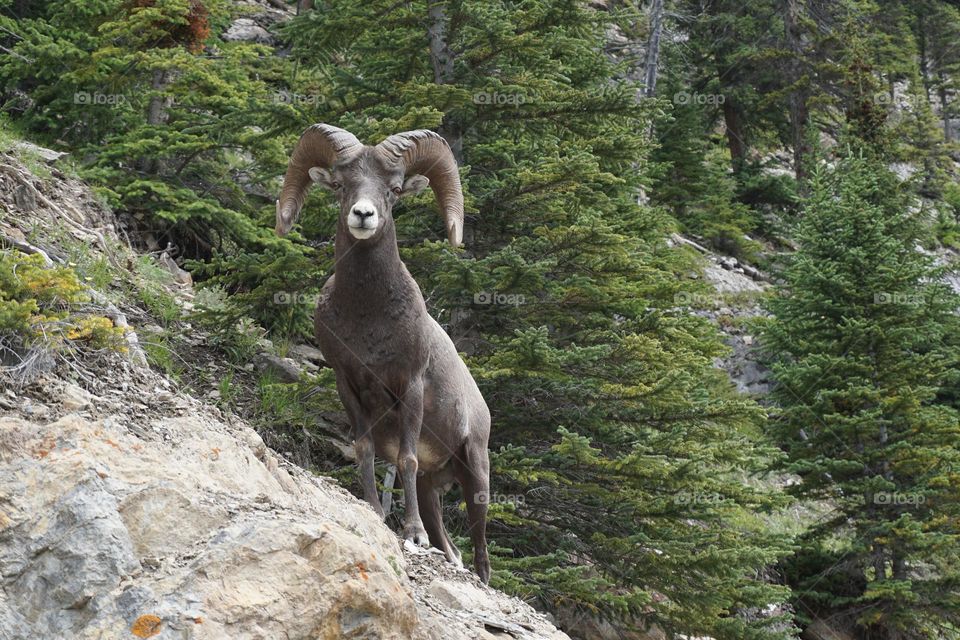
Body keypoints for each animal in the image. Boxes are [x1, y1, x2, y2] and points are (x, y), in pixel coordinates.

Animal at [274, 122, 492, 584]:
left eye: (393, 190)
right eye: (341, 185)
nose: (363, 215)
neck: (369, 318)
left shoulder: (409, 388)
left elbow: (405, 459)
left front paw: (411, 535)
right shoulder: (349, 386)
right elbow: (365, 450)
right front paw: (375, 510)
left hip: (476, 472)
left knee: (481, 549)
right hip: (433, 489)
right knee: (449, 543)